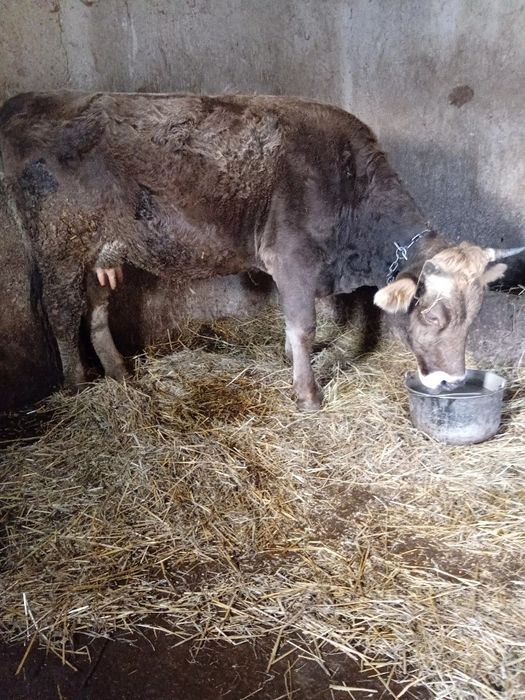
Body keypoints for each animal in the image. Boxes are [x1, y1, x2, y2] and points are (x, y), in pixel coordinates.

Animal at [0, 91, 522, 410]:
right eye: (432, 316)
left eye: (473, 318)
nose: (452, 382)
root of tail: (30, 99)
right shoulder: (291, 259)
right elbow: (305, 327)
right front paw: (308, 395)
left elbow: (310, 325)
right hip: (59, 246)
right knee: (62, 313)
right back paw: (76, 385)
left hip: (99, 252)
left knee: (97, 309)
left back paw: (119, 374)